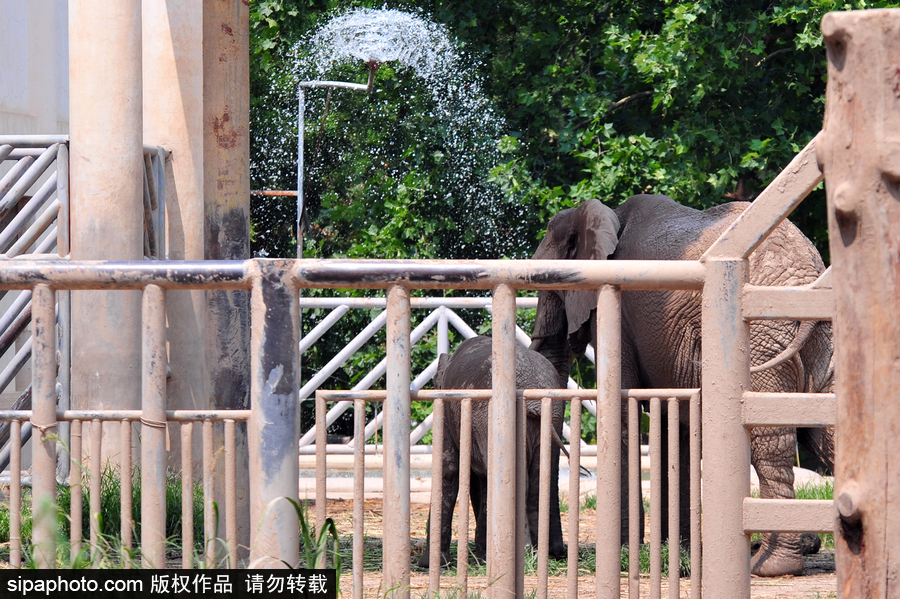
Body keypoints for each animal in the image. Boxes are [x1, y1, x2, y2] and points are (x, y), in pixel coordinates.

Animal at [532, 196, 832, 576]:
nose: (557, 552)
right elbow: (675, 423)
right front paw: (678, 551)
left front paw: (627, 552)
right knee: (828, 433)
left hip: (763, 335)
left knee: (769, 438)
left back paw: (770, 566)